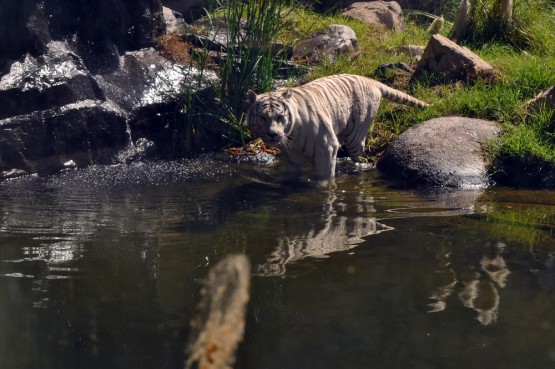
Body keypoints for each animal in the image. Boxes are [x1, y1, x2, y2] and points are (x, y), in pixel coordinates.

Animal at [247, 72, 430, 179]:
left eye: (280, 117)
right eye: (262, 118)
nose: (272, 134)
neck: (291, 136)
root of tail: (370, 80)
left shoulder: (326, 147)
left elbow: (324, 177)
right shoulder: (290, 158)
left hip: (355, 136)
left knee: (361, 157)